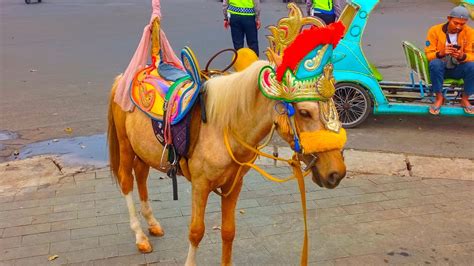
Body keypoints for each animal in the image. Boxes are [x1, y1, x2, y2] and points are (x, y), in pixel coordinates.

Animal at [109, 2, 348, 266]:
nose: (336, 173)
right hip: (125, 144)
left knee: (141, 176)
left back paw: (152, 224)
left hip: (143, 150)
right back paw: (140, 236)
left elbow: (228, 232)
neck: (223, 129)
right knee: (127, 181)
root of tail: (128, 76)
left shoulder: (234, 185)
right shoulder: (200, 185)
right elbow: (196, 232)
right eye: (304, 112)